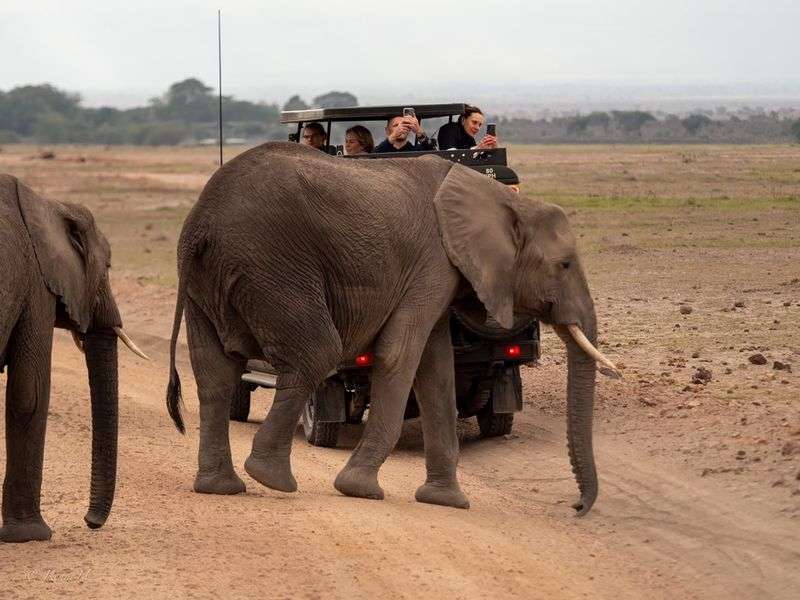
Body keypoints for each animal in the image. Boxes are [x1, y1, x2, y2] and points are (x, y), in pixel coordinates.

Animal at [0, 174, 147, 543]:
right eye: (107, 267)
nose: (90, 522)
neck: (49, 205)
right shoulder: (36, 283)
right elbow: (30, 393)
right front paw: (31, 536)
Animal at [166, 142, 619, 514]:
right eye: (564, 265)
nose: (576, 506)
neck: (497, 197)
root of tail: (201, 222)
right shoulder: (432, 263)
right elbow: (401, 355)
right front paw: (360, 490)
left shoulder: (440, 275)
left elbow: (437, 370)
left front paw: (447, 501)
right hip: (272, 268)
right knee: (316, 354)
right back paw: (271, 478)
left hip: (210, 284)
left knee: (215, 374)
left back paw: (221, 487)